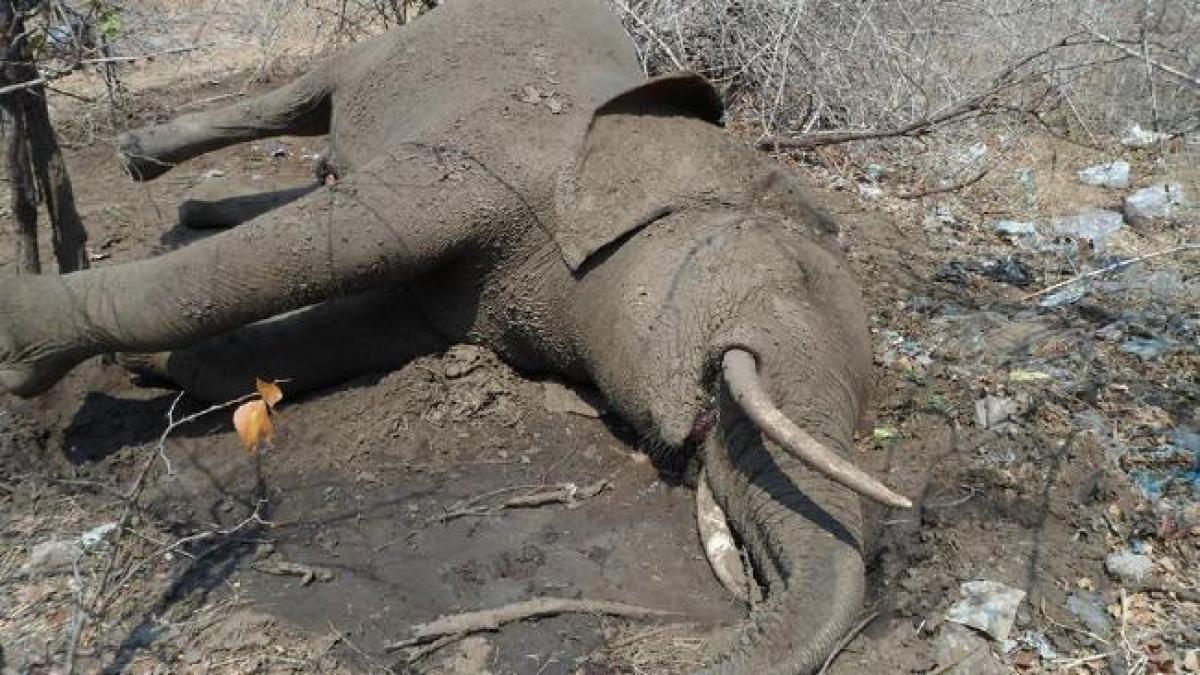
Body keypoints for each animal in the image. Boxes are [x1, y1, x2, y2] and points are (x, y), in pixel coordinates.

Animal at [0, 0, 911, 672]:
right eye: (779, 284)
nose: (707, 635)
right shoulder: (483, 165)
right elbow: (315, 248)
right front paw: (27, 356)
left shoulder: (480, 296)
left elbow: (348, 328)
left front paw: (143, 363)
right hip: (399, 43)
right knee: (299, 102)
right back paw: (139, 159)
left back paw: (198, 207)